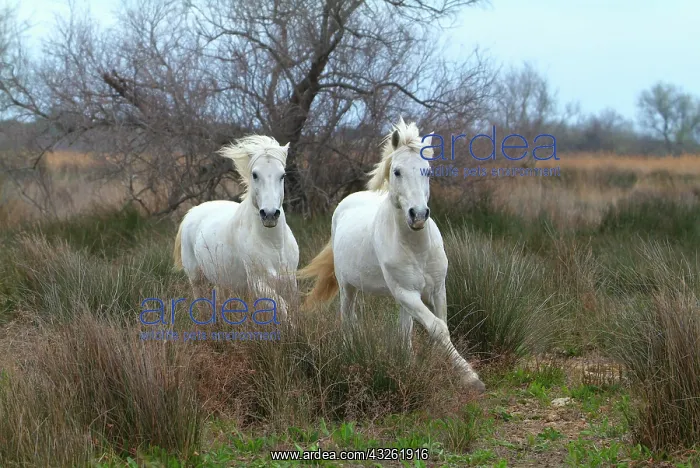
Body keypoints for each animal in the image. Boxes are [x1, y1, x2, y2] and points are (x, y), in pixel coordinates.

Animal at [173, 135, 299, 321]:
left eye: (282, 175)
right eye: (255, 174)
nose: (269, 214)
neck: (273, 244)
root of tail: (192, 211)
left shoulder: (289, 280)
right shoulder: (257, 283)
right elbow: (282, 308)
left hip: (221, 278)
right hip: (196, 278)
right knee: (201, 304)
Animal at [298, 118, 485, 393]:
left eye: (427, 171)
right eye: (397, 171)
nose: (418, 215)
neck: (417, 248)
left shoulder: (436, 289)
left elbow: (439, 325)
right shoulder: (405, 292)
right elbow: (437, 328)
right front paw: (471, 377)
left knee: (404, 329)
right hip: (348, 287)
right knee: (348, 319)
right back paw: (349, 352)